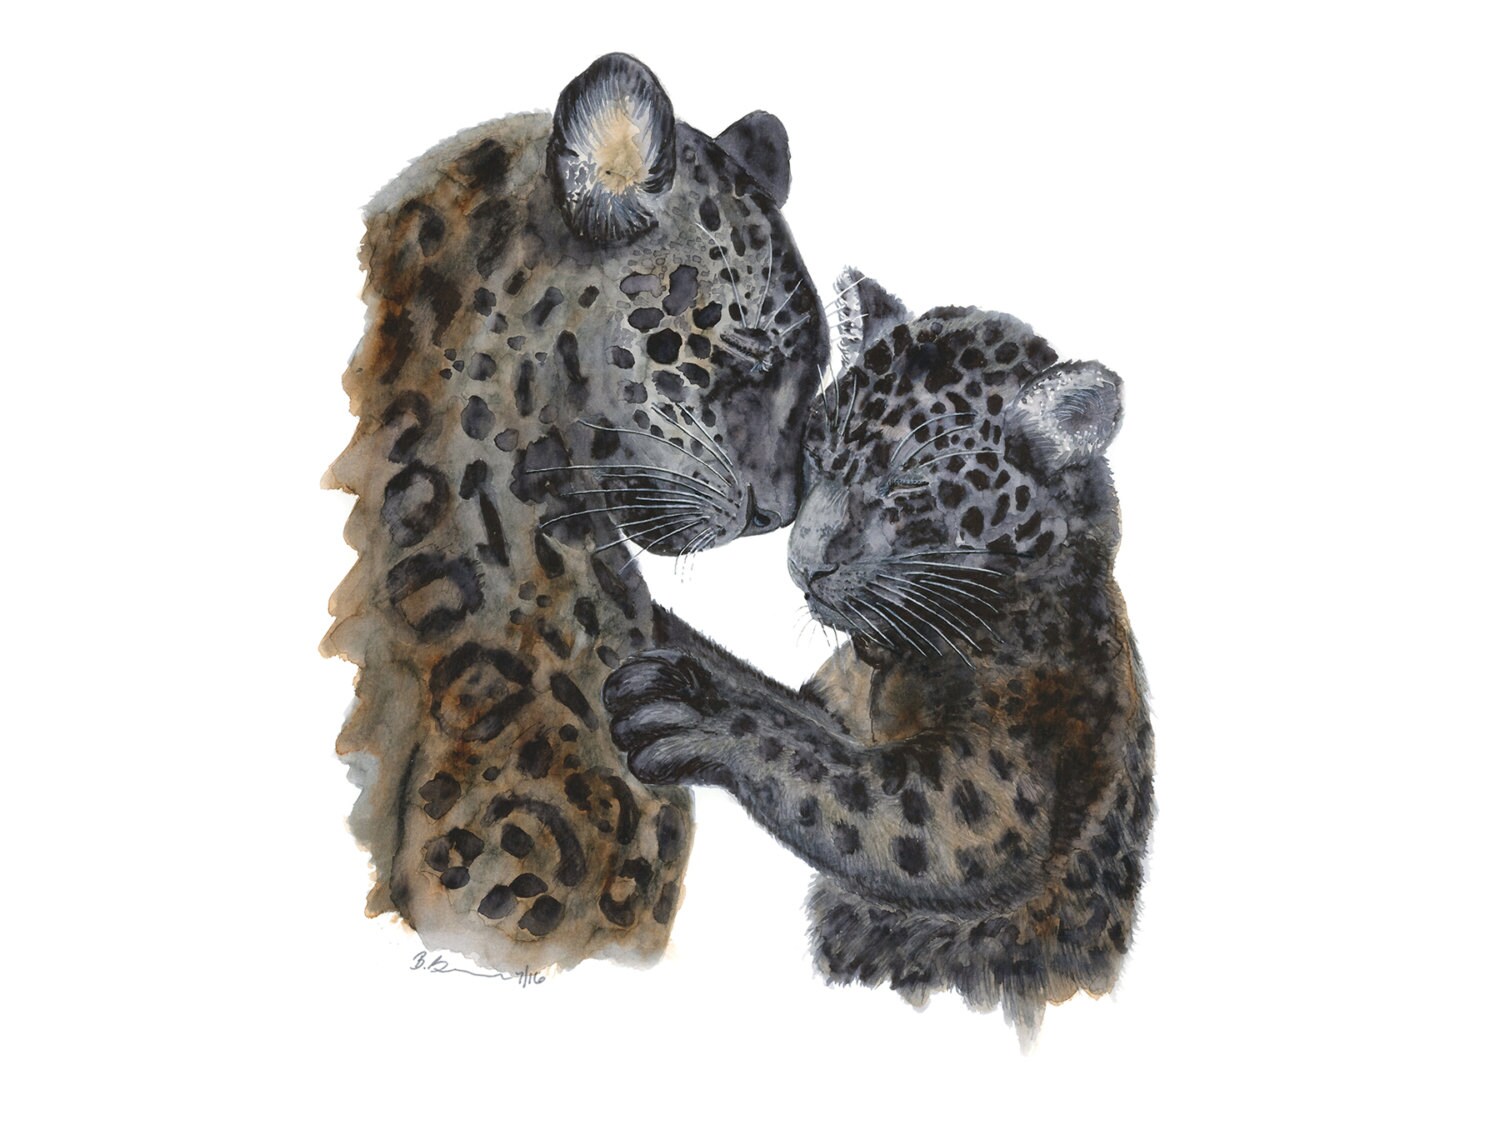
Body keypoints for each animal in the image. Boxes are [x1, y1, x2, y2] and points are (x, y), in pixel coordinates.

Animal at [603, 270, 1152, 1043]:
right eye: (816, 449)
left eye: (908, 485)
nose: (802, 562)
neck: (885, 658)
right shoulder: (838, 704)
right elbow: (804, 719)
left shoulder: (988, 796)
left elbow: (824, 769)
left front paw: (693, 707)